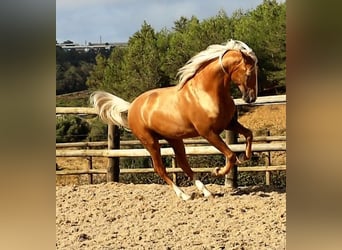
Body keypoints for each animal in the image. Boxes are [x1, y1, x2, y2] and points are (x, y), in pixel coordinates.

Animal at [90, 39, 256, 201]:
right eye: (248, 73)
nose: (251, 98)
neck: (206, 92)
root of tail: (132, 107)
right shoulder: (208, 133)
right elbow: (230, 155)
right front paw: (217, 171)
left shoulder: (229, 124)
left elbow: (249, 134)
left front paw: (245, 157)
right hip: (150, 142)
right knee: (160, 168)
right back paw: (184, 195)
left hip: (174, 139)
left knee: (183, 164)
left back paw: (206, 192)